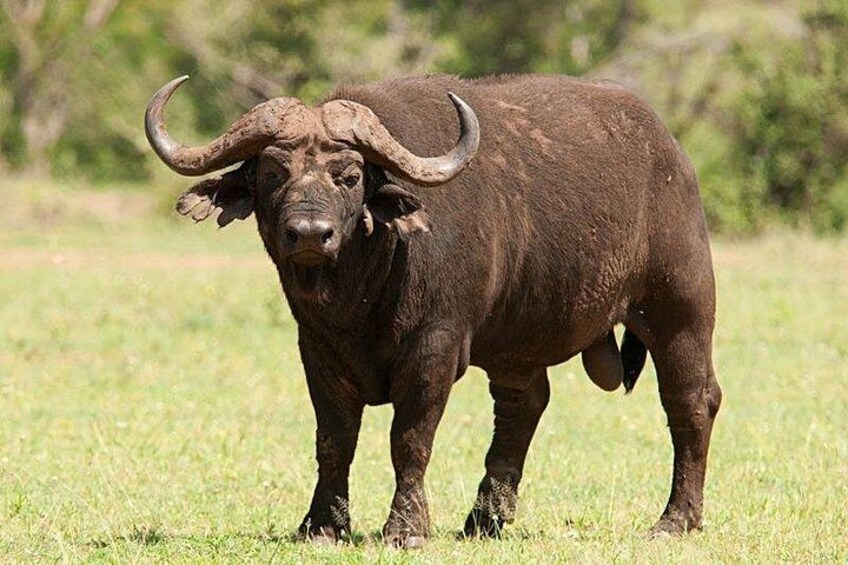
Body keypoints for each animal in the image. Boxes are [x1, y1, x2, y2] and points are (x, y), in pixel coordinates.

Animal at [145, 73, 722, 548]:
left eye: (350, 176)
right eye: (271, 173)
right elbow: (334, 439)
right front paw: (323, 525)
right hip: (516, 343)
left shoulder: (435, 345)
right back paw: (484, 521)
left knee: (691, 401)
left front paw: (405, 528)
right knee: (523, 406)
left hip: (679, 309)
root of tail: (672, 154)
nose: (309, 234)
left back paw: (675, 520)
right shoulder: (317, 348)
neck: (362, 290)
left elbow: (409, 438)